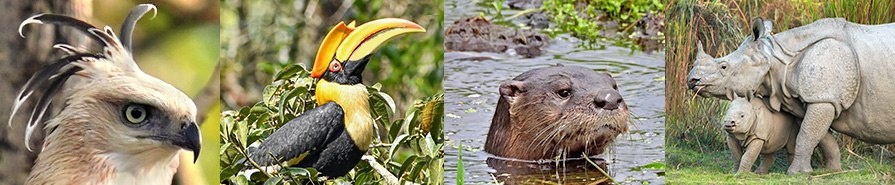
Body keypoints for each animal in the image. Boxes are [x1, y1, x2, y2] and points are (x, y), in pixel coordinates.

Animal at [688, 16, 895, 174]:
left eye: (724, 66)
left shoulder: (823, 99)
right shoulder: (811, 99)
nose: (692, 81)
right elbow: (821, 137)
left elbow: (806, 134)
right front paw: (832, 171)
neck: (777, 58)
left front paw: (797, 173)